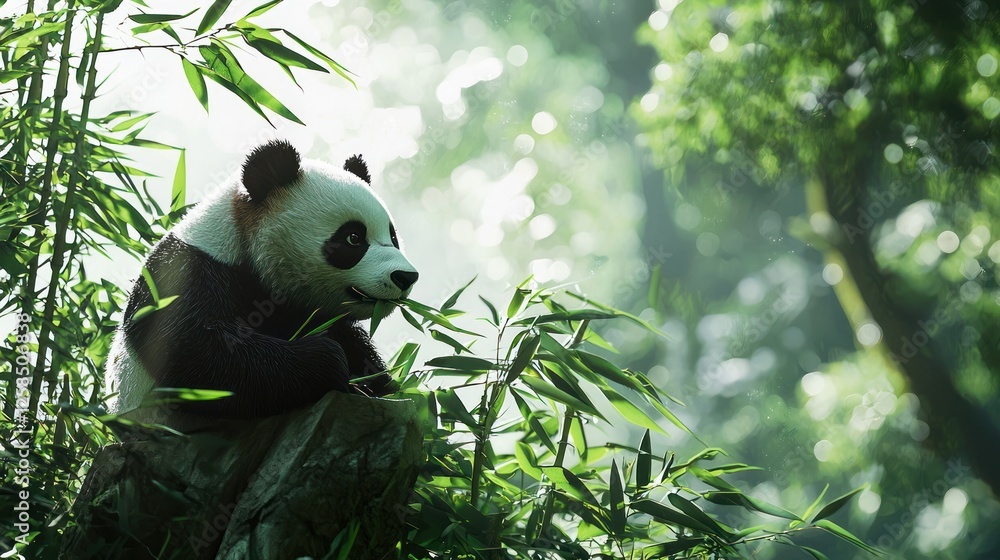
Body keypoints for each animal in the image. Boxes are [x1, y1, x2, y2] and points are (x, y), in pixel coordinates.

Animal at [105, 140, 418, 423]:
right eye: (353, 238)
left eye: (393, 237)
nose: (405, 276)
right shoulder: (185, 274)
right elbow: (197, 354)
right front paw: (335, 367)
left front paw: (378, 382)